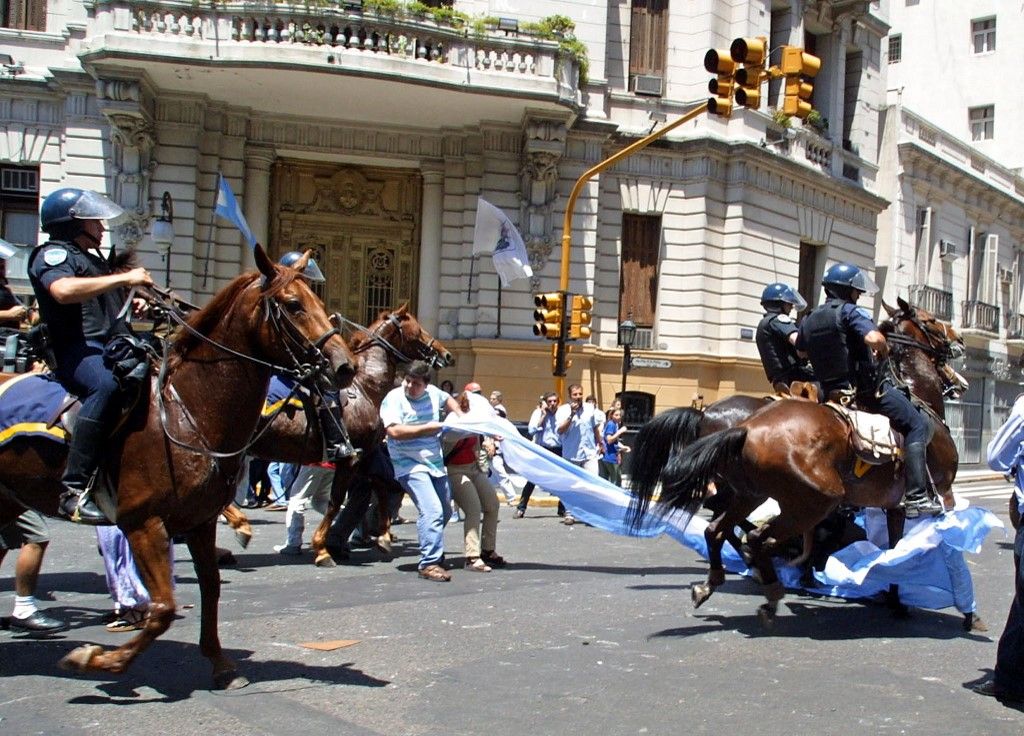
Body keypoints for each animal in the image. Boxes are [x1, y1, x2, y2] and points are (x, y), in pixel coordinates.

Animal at [0, 247, 356, 691]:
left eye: (321, 304)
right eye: (293, 305)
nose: (345, 365)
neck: (189, 411)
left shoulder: (199, 521)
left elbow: (211, 588)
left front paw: (220, 663)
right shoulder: (143, 523)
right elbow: (165, 607)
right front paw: (98, 660)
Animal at [630, 298, 966, 626]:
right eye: (932, 320)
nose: (959, 341)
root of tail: (740, 425)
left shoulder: (893, 506)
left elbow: (893, 550)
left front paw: (894, 598)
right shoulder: (944, 494)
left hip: (751, 491)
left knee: (720, 526)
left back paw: (733, 576)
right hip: (812, 498)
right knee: (747, 530)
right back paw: (764, 573)